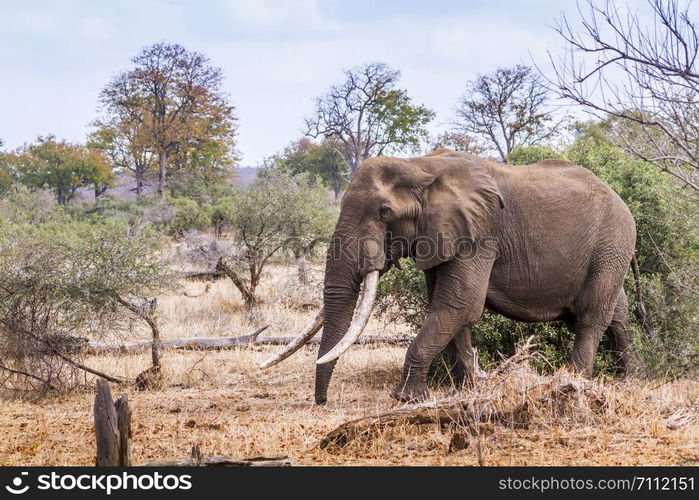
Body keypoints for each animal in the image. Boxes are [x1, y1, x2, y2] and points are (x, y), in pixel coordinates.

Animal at [262, 150, 640, 404]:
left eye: (384, 212)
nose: (322, 402)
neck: (419, 166)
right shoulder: (441, 237)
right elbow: (450, 309)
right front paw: (468, 391)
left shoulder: (481, 234)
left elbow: (459, 305)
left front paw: (405, 399)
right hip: (611, 252)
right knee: (617, 312)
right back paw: (632, 379)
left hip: (611, 244)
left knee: (591, 316)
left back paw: (573, 383)